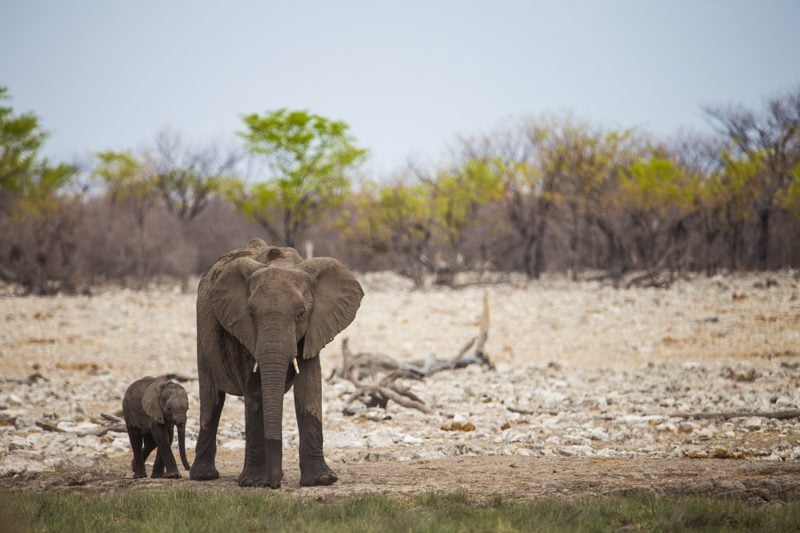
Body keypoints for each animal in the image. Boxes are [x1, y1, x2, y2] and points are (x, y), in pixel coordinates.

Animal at [188, 239, 362, 488]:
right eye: (251, 314)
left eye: (300, 314)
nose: (274, 483)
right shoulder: (242, 330)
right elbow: (255, 391)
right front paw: (252, 482)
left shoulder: (314, 327)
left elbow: (309, 388)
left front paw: (321, 480)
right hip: (202, 334)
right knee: (212, 399)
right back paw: (204, 476)